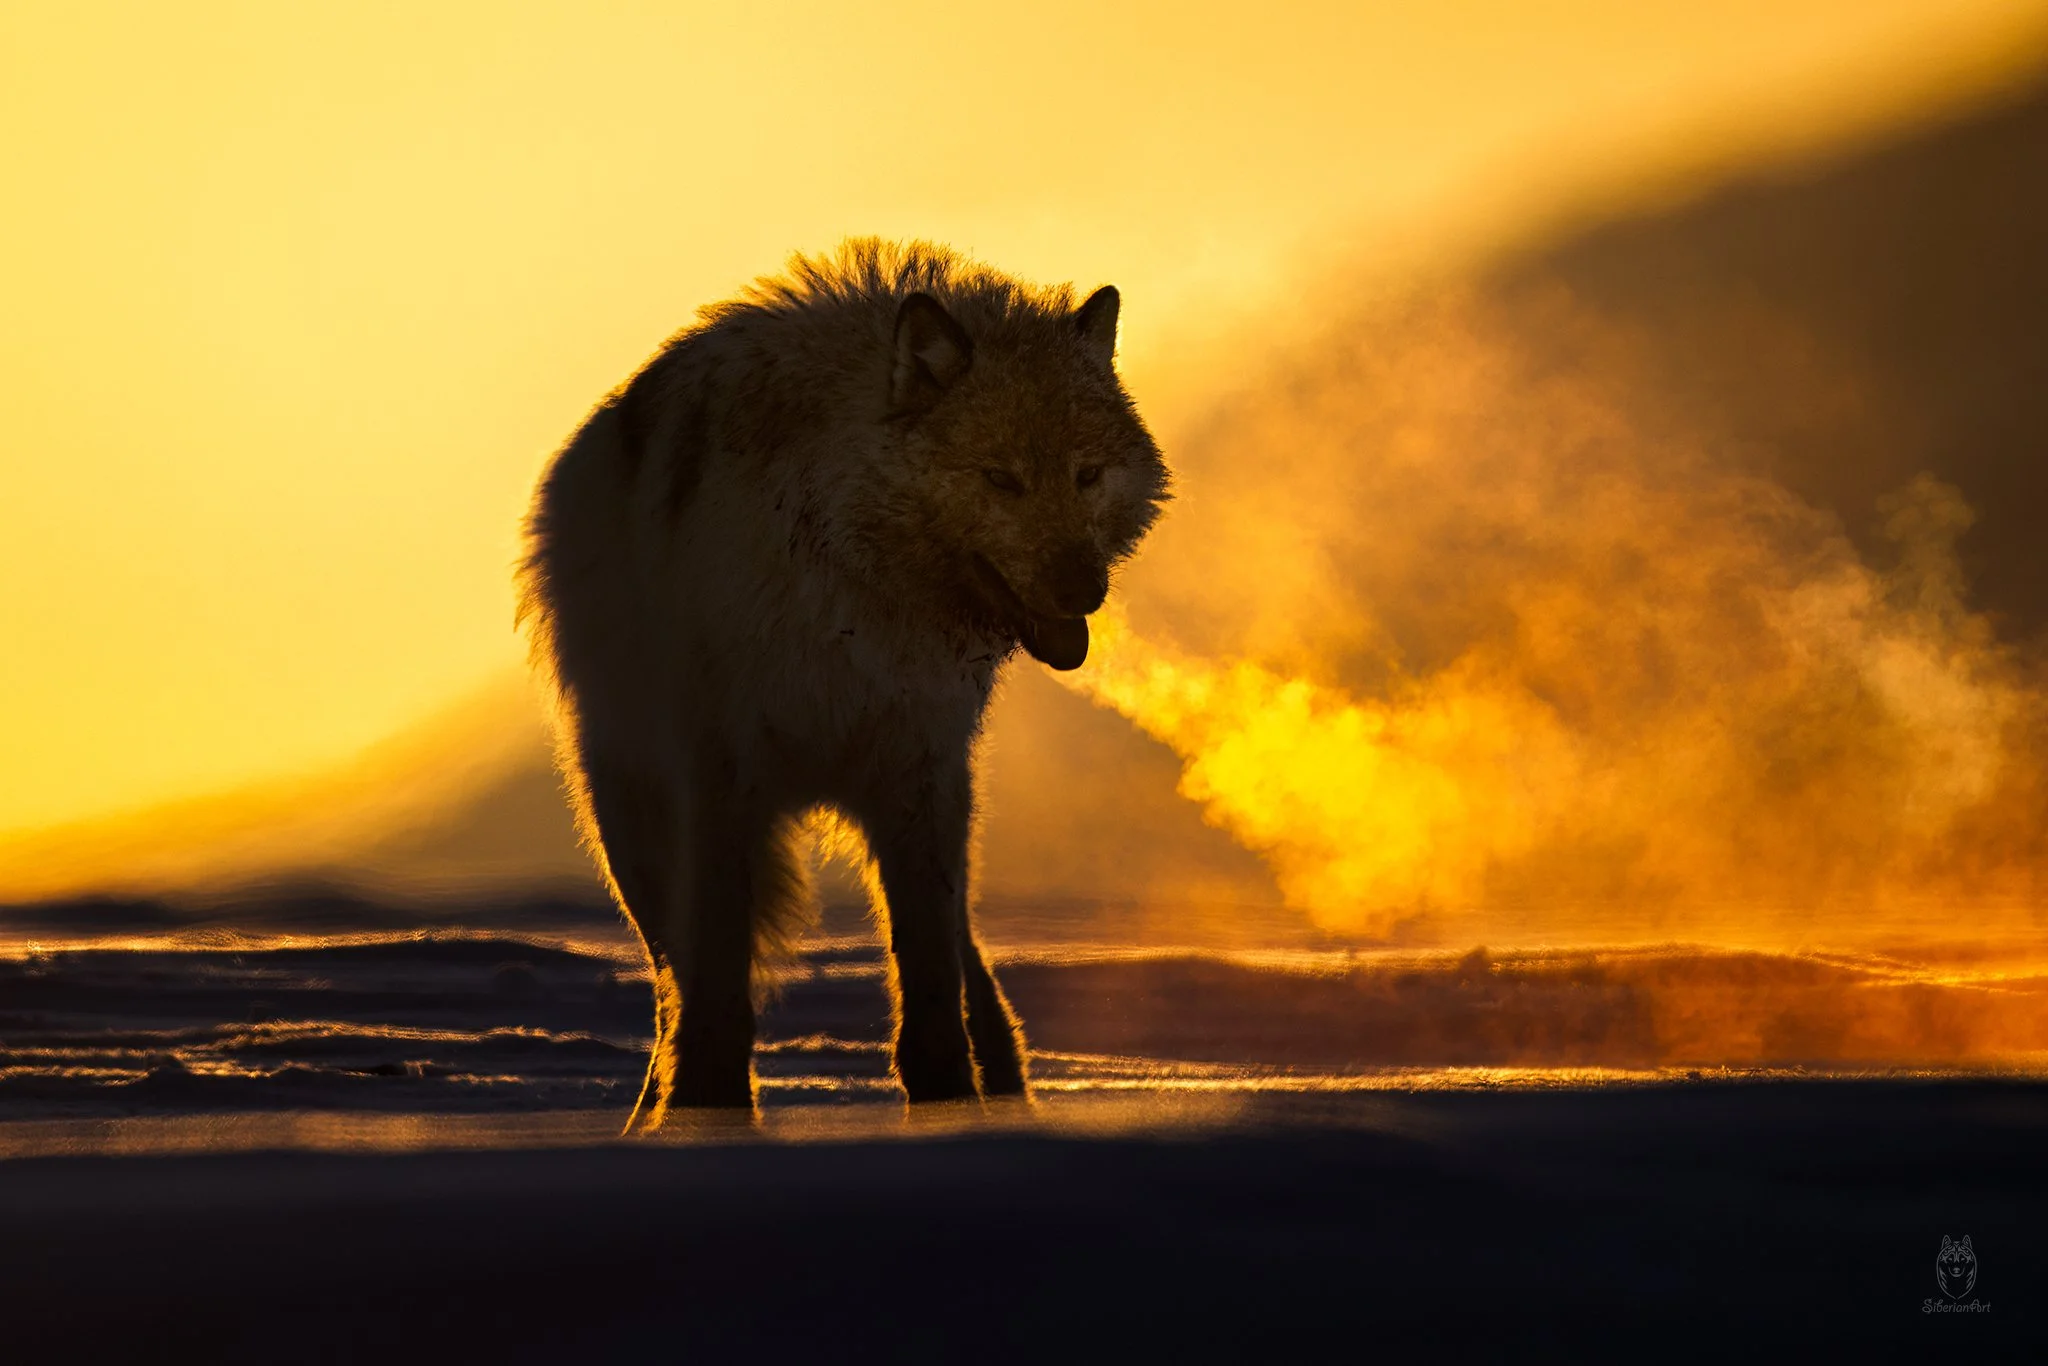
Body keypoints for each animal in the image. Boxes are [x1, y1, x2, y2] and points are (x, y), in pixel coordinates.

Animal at [518, 240, 1169, 1129]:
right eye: (1000, 478)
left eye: (1087, 474)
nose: (1083, 591)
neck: (848, 582)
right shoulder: (722, 782)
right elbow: (715, 973)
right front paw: (708, 1104)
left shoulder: (919, 774)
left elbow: (930, 974)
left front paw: (948, 1097)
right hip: (628, 819)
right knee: (669, 978)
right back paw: (654, 1105)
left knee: (967, 958)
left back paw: (1004, 1084)